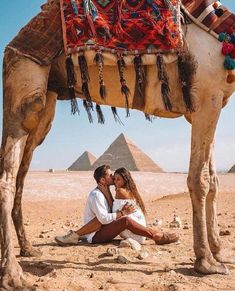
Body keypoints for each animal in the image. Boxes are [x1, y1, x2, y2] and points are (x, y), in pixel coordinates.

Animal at [0, 0, 235, 290]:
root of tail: (13, 44)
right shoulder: (205, 99)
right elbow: (199, 180)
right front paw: (206, 262)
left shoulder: (210, 106)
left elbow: (214, 181)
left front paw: (220, 253)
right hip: (24, 85)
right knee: (7, 177)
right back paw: (13, 275)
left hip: (44, 108)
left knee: (22, 173)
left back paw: (28, 249)